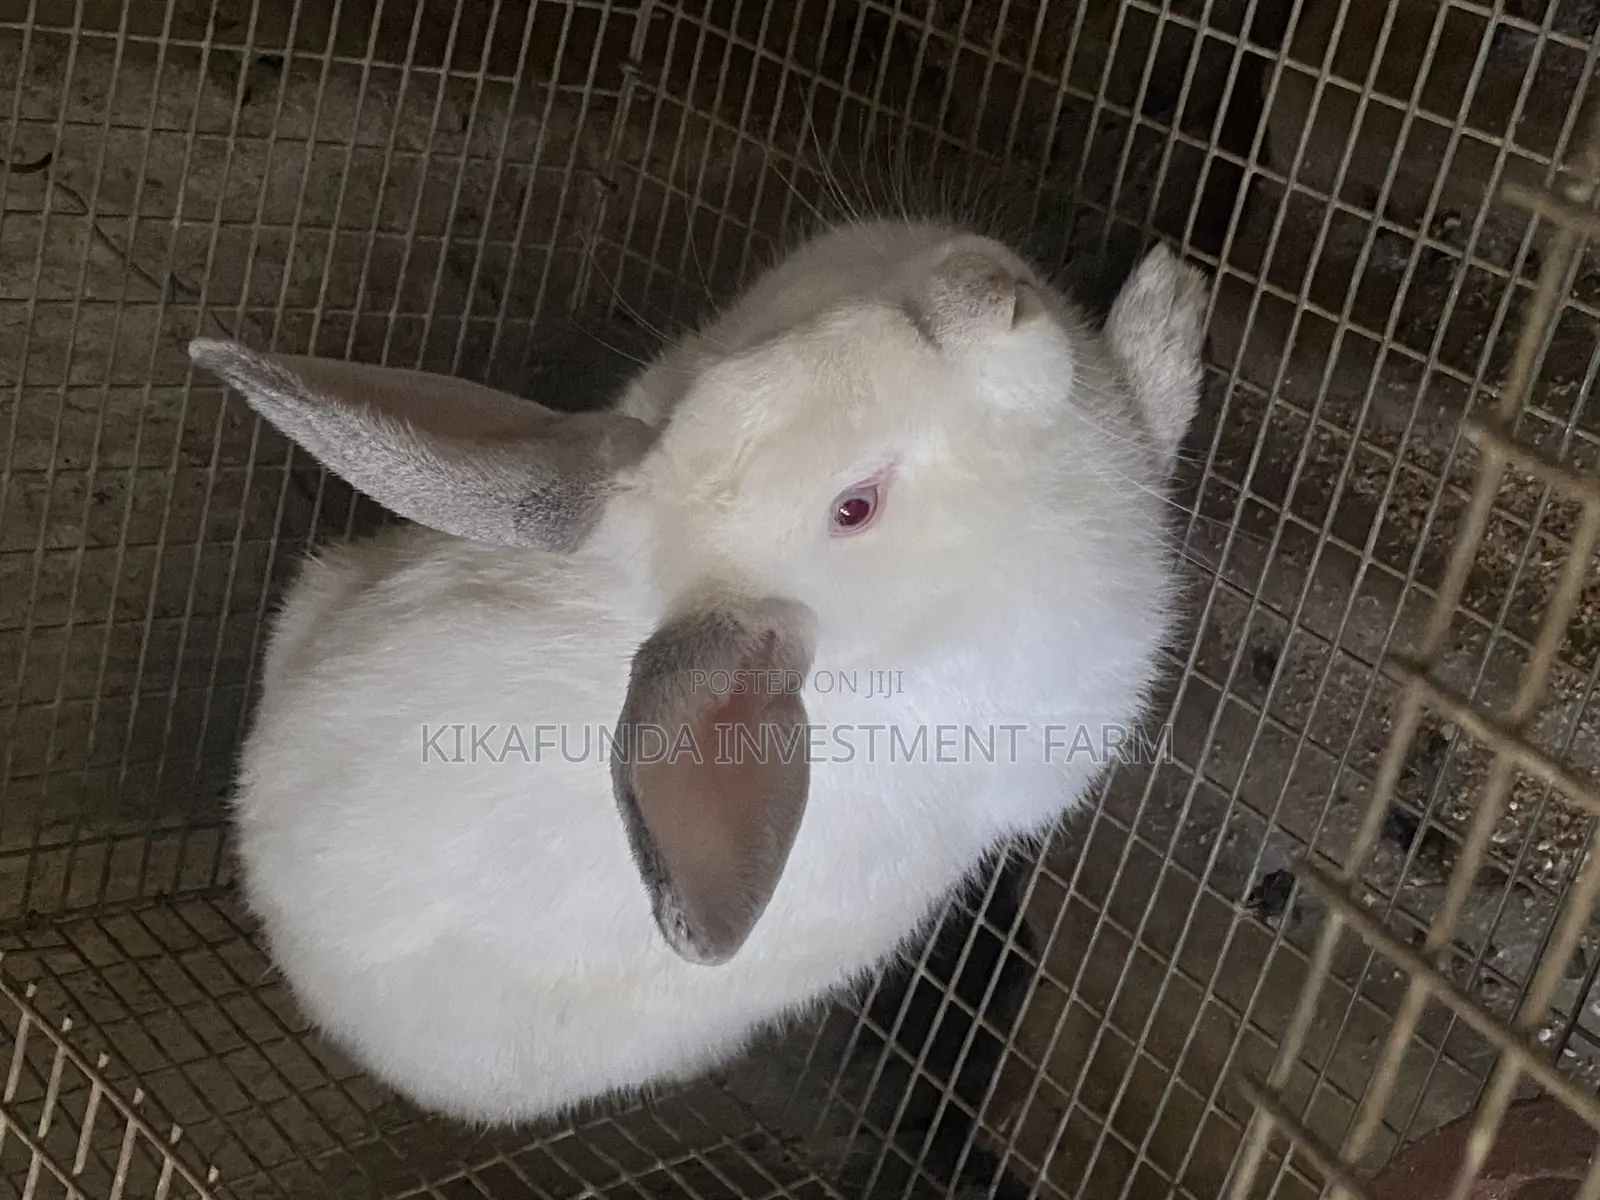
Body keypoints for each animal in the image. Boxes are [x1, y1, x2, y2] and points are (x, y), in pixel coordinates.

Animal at [187, 215, 1209, 1129]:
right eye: (856, 507)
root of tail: (290, 942)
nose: (991, 292)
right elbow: (1155, 421)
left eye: (745, 363)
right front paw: (1172, 305)